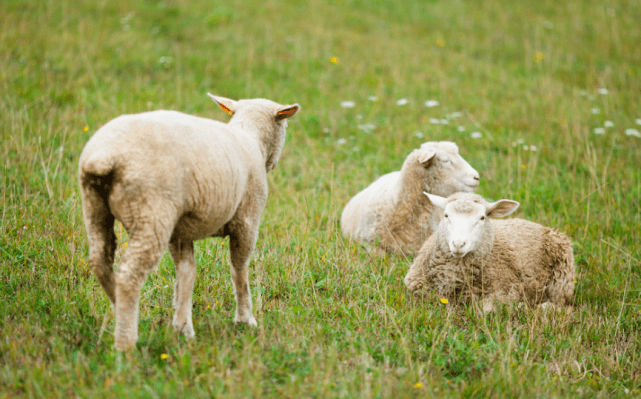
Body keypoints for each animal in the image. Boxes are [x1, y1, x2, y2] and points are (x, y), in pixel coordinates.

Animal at [78, 93, 300, 350]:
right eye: (284, 124)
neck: (251, 137)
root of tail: (103, 157)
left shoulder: (180, 230)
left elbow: (186, 270)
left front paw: (183, 326)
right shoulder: (247, 219)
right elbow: (239, 269)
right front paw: (245, 319)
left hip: (95, 206)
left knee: (100, 260)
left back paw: (120, 310)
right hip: (151, 212)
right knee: (129, 275)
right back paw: (126, 343)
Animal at [404, 192, 576, 310]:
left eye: (482, 218)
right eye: (446, 215)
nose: (458, 244)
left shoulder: (508, 289)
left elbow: (485, 309)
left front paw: (519, 307)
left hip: (561, 283)